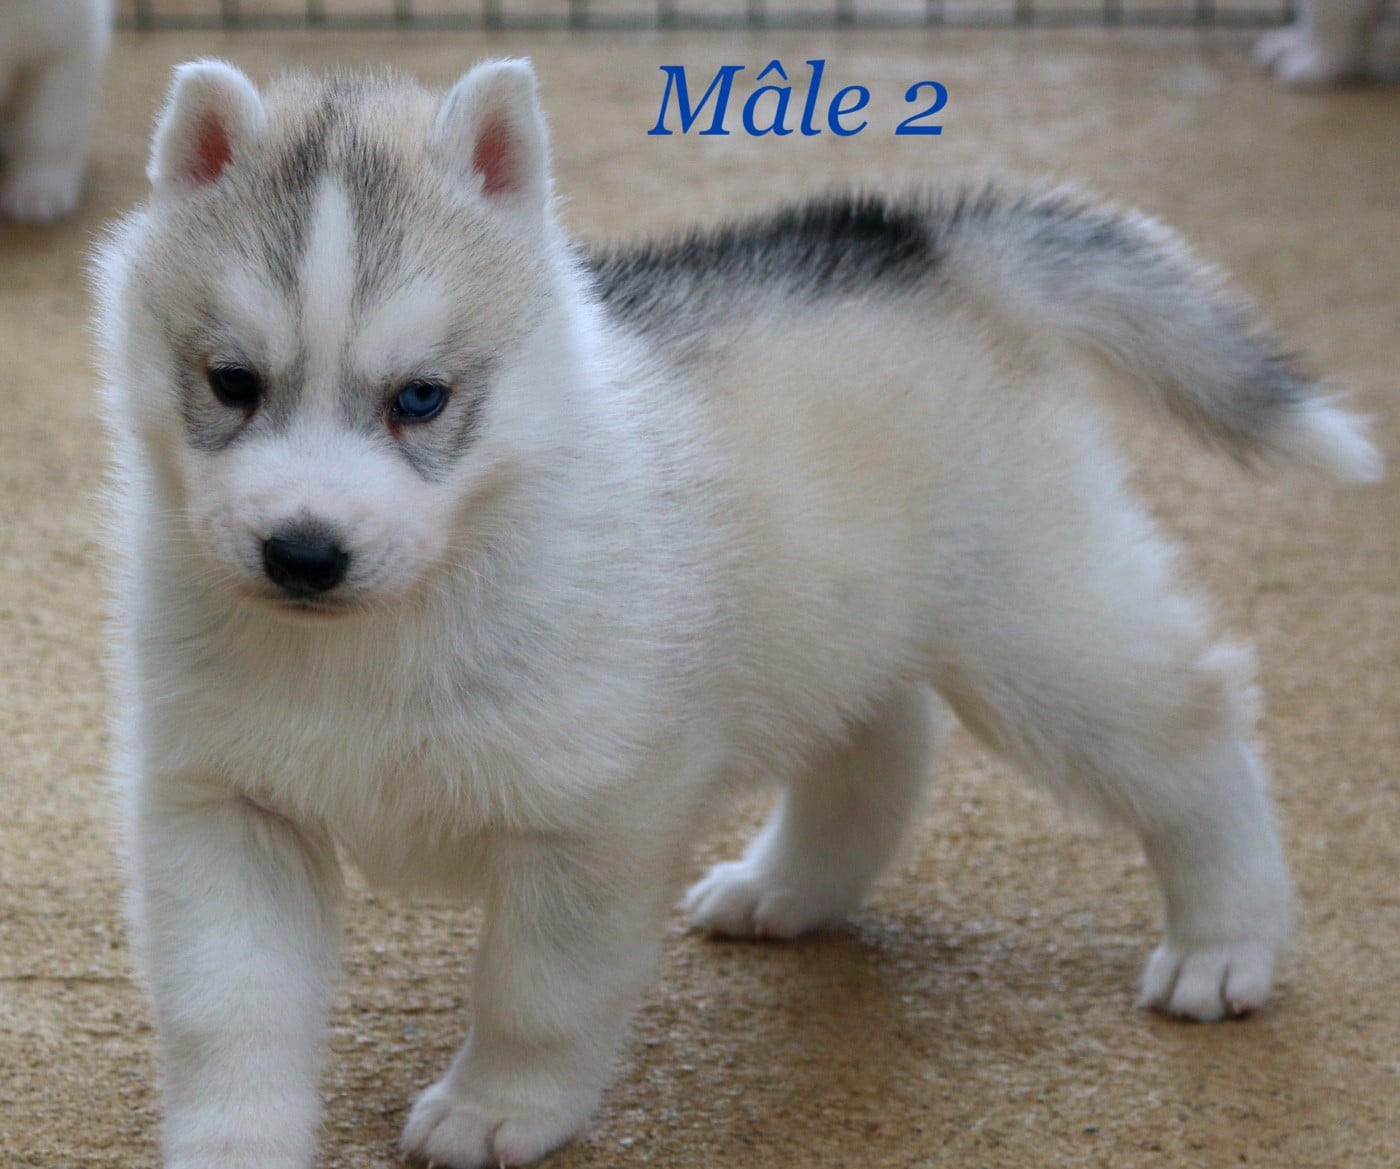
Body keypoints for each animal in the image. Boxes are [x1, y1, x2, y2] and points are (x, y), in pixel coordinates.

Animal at [93, 58, 1383, 1169]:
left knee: (1188, 724)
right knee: (881, 738)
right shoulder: (224, 806)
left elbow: (534, 989)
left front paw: (499, 1103)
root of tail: (910, 239)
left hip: (1038, 632)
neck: (384, 627)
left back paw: (1225, 940)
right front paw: (232, 1144)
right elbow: (230, 1014)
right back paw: (788, 887)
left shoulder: (588, 821)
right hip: (839, 614)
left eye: (420, 398)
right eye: (230, 382)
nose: (302, 552)